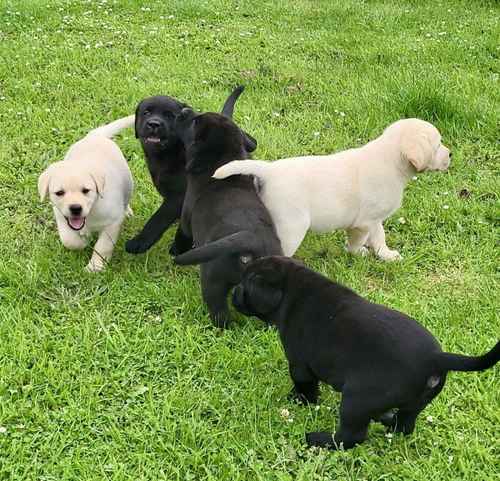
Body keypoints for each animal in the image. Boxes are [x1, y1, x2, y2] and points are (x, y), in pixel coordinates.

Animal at [38, 116, 135, 270]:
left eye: (86, 191)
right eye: (59, 192)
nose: (75, 208)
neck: (91, 212)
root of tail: (95, 136)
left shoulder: (112, 222)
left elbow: (103, 246)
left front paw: (95, 267)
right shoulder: (62, 218)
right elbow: (69, 240)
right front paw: (83, 241)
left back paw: (127, 211)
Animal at [126, 85, 249, 255]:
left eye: (170, 116)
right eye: (147, 112)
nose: (154, 124)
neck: (171, 153)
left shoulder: (178, 197)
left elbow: (158, 219)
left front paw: (140, 242)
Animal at [171, 109, 282, 326]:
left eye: (195, 122)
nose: (184, 110)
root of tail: (252, 241)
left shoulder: (186, 220)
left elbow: (182, 236)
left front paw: (174, 251)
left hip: (212, 279)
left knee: (219, 311)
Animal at [213, 118, 452, 260]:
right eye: (438, 145)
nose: (451, 154)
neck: (391, 160)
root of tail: (269, 170)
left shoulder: (375, 219)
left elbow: (379, 236)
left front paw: (386, 255)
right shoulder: (363, 222)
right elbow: (360, 239)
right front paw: (358, 253)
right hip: (291, 226)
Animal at [233, 256, 500, 448]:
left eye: (245, 285)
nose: (234, 292)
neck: (292, 287)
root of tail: (434, 359)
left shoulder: (299, 364)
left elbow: (305, 386)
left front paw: (298, 401)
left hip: (356, 400)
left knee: (352, 437)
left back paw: (319, 439)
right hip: (414, 404)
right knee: (404, 425)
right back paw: (387, 420)